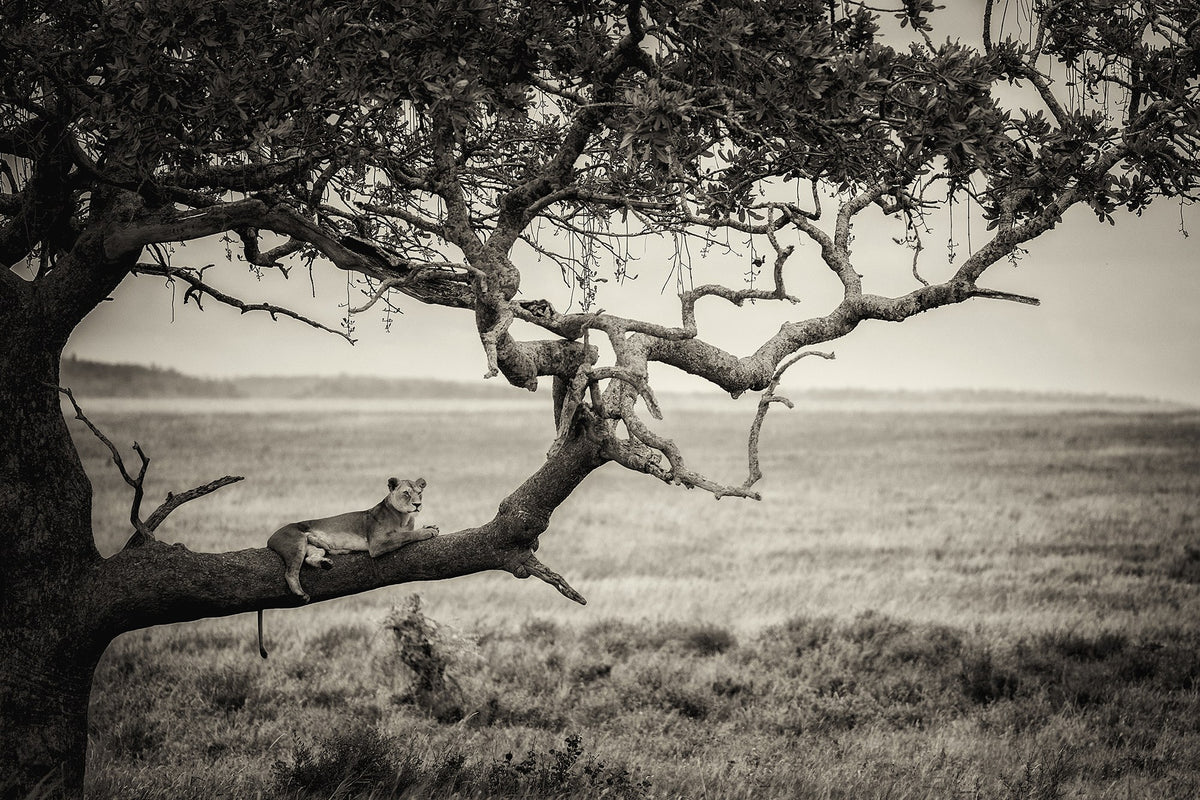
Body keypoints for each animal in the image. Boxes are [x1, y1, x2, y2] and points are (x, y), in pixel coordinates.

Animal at [257, 476, 438, 658]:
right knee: (290, 572)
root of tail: (269, 538)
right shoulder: (377, 543)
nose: (417, 504)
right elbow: (406, 535)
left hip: (313, 546)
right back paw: (301, 592)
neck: (404, 517)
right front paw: (427, 531)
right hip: (296, 541)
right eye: (406, 493)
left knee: (309, 559)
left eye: (419, 493)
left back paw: (325, 564)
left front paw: (430, 527)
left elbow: (406, 533)